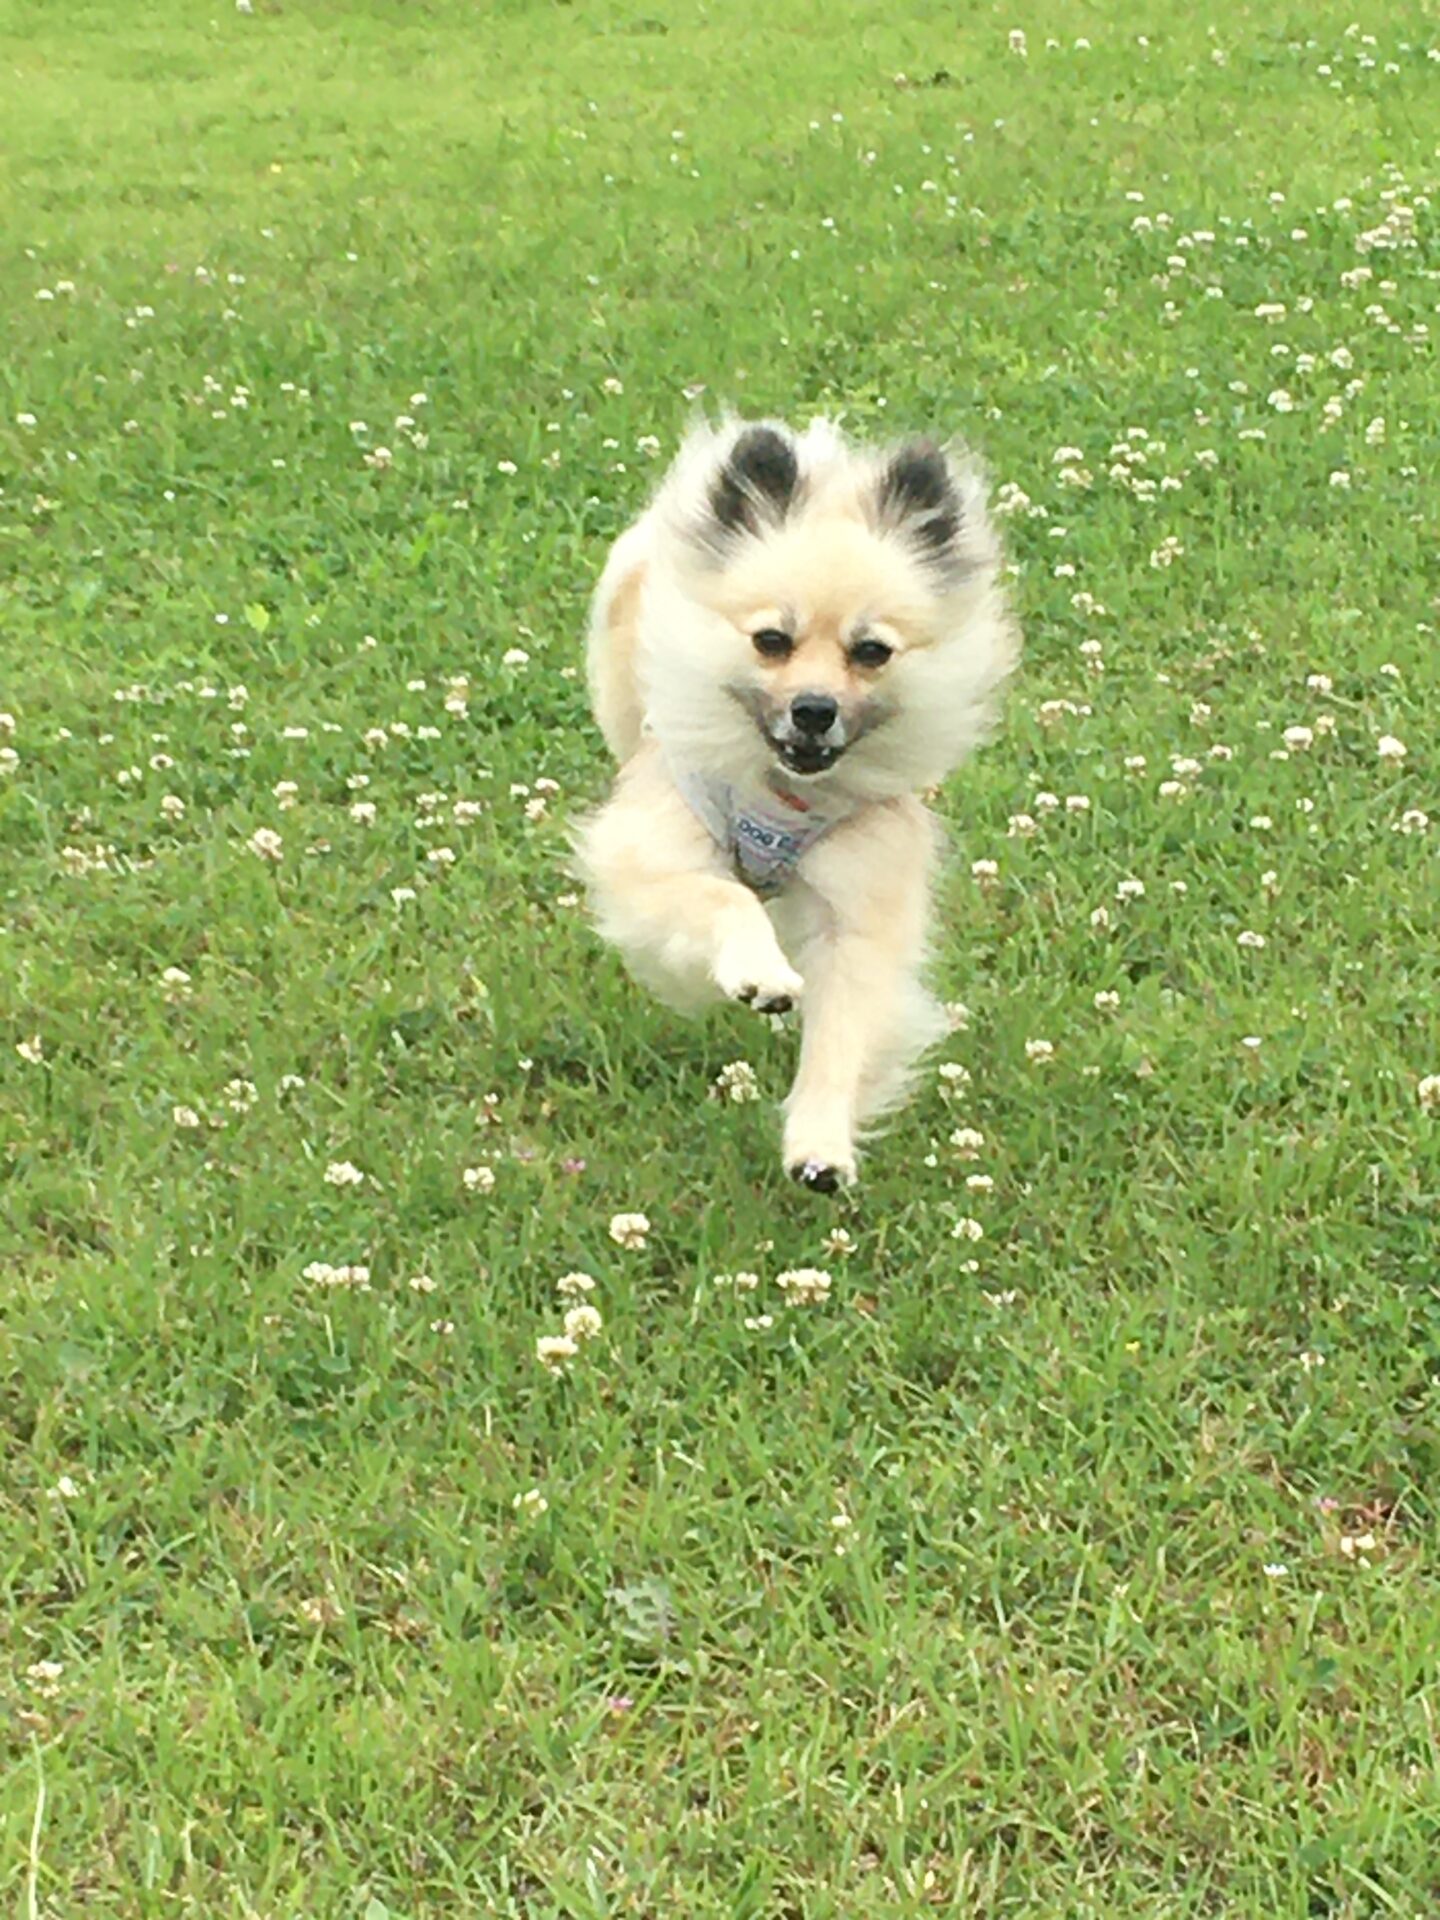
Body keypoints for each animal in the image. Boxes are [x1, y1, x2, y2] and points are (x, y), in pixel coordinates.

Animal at [575, 416, 1018, 1192]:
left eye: (871, 652)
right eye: (771, 641)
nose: (814, 710)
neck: (783, 792)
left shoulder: (859, 911)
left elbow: (841, 1036)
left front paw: (820, 1142)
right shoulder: (649, 859)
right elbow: (722, 898)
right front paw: (758, 973)